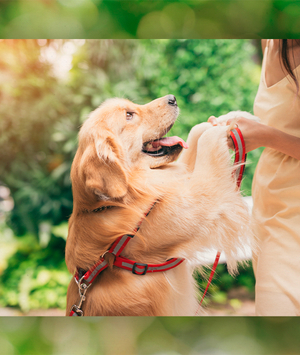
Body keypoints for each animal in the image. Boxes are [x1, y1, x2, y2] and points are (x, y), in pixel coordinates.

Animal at [65, 95, 251, 318]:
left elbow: (194, 139)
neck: (113, 204)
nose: (172, 98)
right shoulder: (198, 203)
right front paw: (219, 129)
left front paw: (227, 118)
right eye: (129, 115)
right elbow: (207, 146)